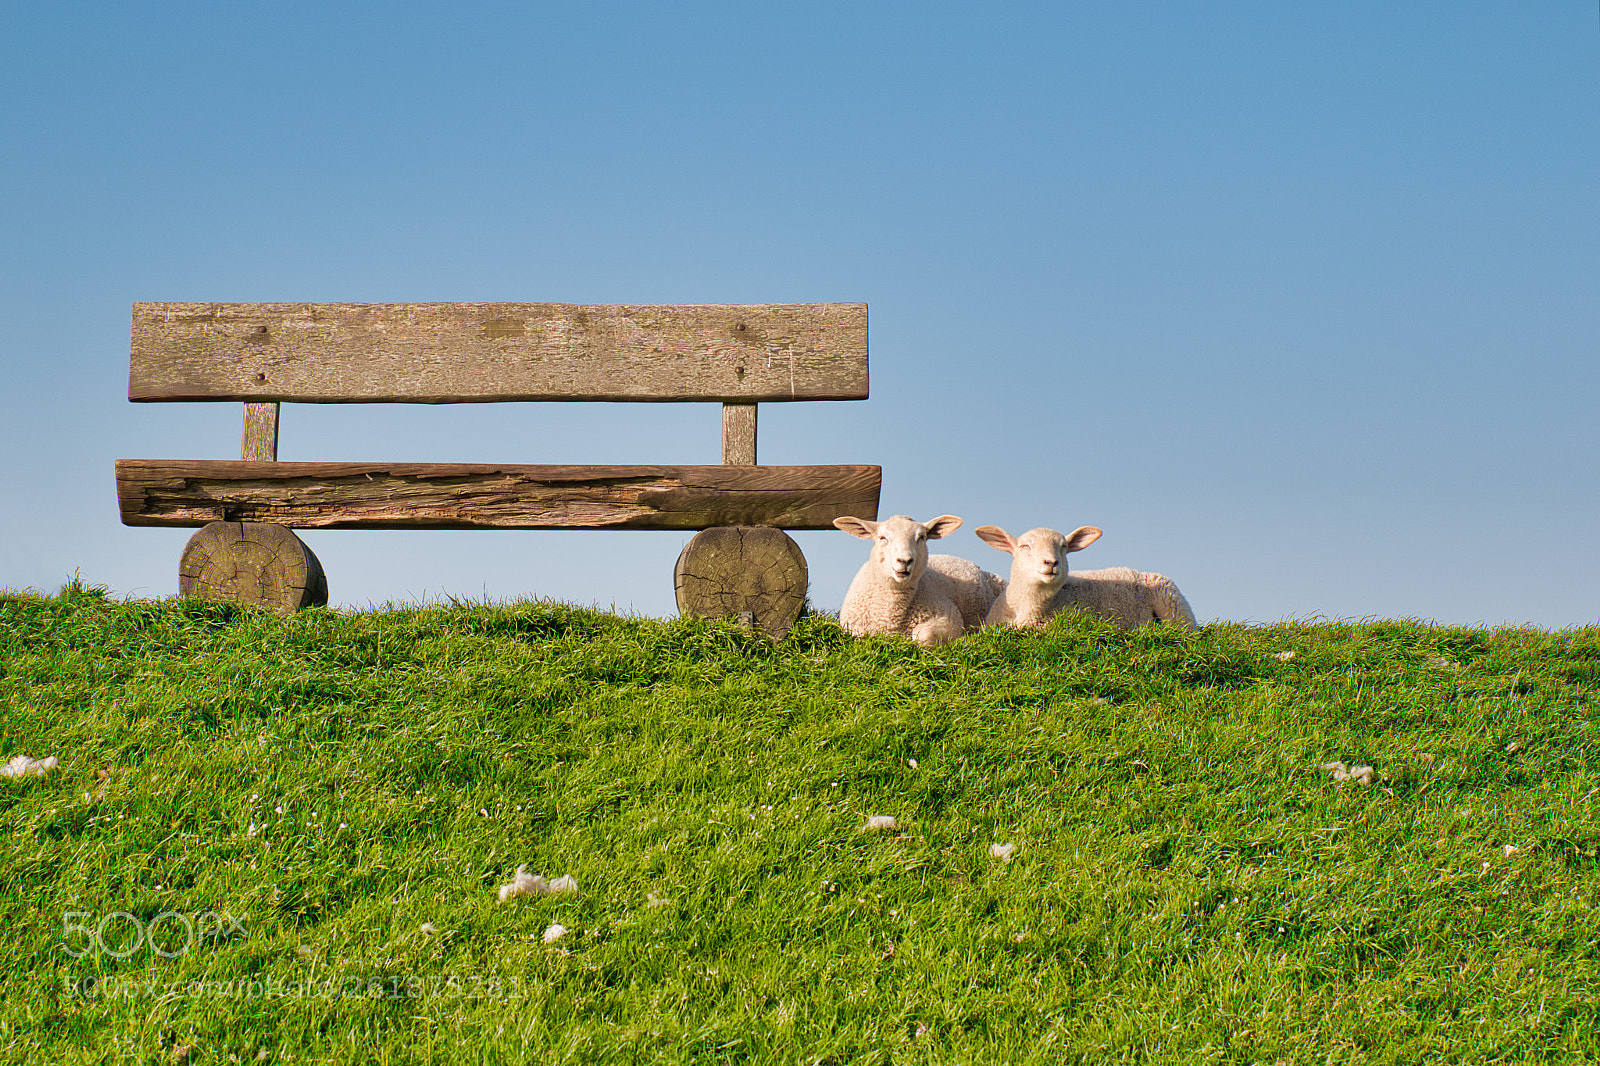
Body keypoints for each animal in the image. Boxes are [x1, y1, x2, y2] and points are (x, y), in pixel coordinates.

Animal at [833, 514, 1005, 647]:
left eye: (921, 537)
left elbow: (923, 635)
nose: (904, 560)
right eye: (882, 538)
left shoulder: (950, 617)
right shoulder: (855, 630)